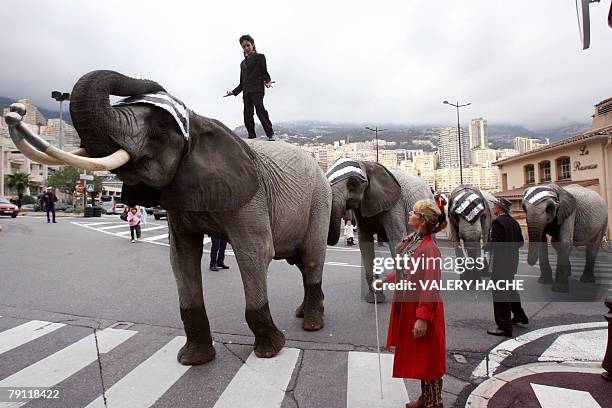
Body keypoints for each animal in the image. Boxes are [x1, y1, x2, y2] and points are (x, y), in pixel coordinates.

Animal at [3, 71, 330, 366]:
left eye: (160, 125)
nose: (15, 112)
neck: (201, 123)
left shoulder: (252, 197)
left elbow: (255, 253)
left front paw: (269, 352)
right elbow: (181, 257)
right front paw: (192, 360)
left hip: (320, 198)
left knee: (312, 257)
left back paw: (312, 324)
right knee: (302, 261)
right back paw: (304, 313)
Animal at [328, 158, 432, 302]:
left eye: (353, 183)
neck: (365, 163)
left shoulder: (395, 205)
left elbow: (396, 240)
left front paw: (401, 301)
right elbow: (365, 242)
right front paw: (374, 299)